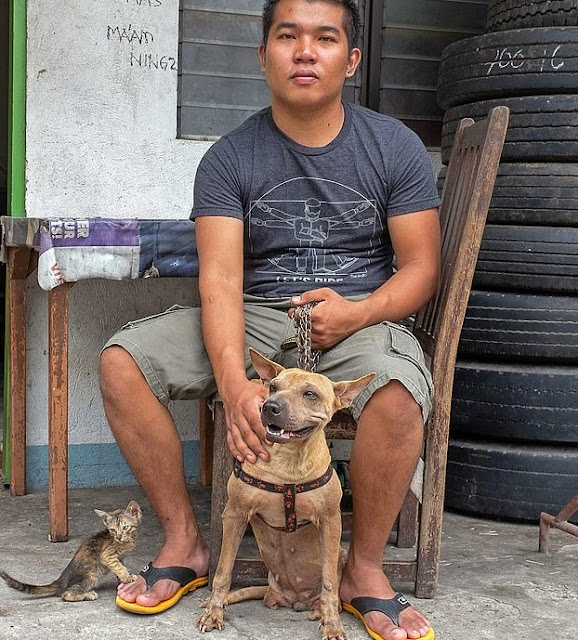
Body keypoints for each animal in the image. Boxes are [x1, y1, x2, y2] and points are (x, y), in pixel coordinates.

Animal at [0, 500, 142, 600]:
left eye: (125, 527)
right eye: (112, 530)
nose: (118, 537)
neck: (125, 541)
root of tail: (60, 580)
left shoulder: (120, 557)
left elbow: (120, 567)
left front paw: (125, 579)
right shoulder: (108, 555)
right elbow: (118, 567)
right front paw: (127, 577)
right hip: (91, 576)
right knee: (65, 594)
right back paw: (88, 595)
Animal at [198, 350, 374, 640]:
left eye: (310, 393)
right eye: (273, 386)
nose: (270, 406)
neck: (289, 463)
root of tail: (293, 599)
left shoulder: (330, 521)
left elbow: (329, 583)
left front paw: (333, 625)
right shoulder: (235, 514)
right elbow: (223, 571)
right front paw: (214, 612)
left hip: (341, 553)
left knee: (331, 591)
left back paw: (321, 612)